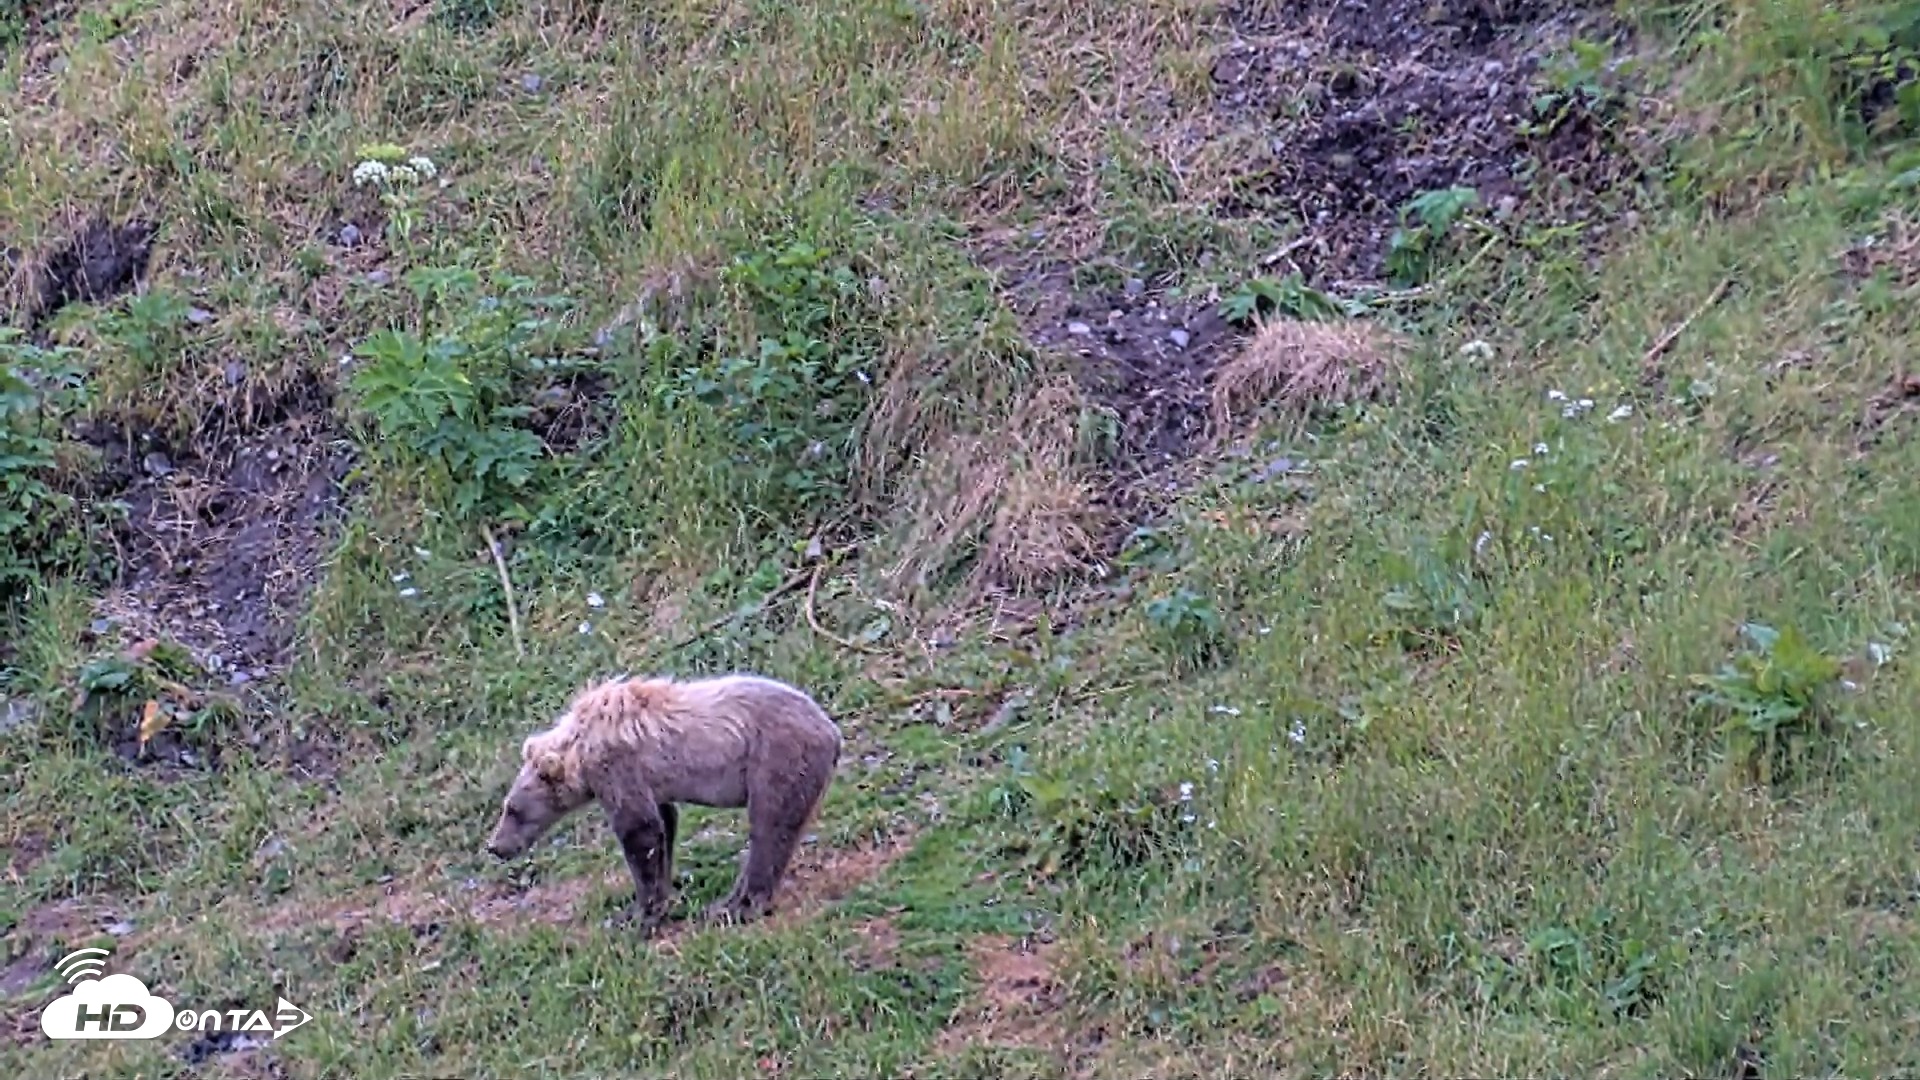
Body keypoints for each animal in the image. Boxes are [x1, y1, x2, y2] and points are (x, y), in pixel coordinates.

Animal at [483, 672, 842, 933]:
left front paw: (639, 914)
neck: (579, 753)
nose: (495, 846)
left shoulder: (618, 769)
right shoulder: (652, 783)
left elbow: (639, 832)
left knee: (769, 826)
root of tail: (832, 730)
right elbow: (663, 826)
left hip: (776, 757)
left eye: (512, 809)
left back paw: (735, 907)